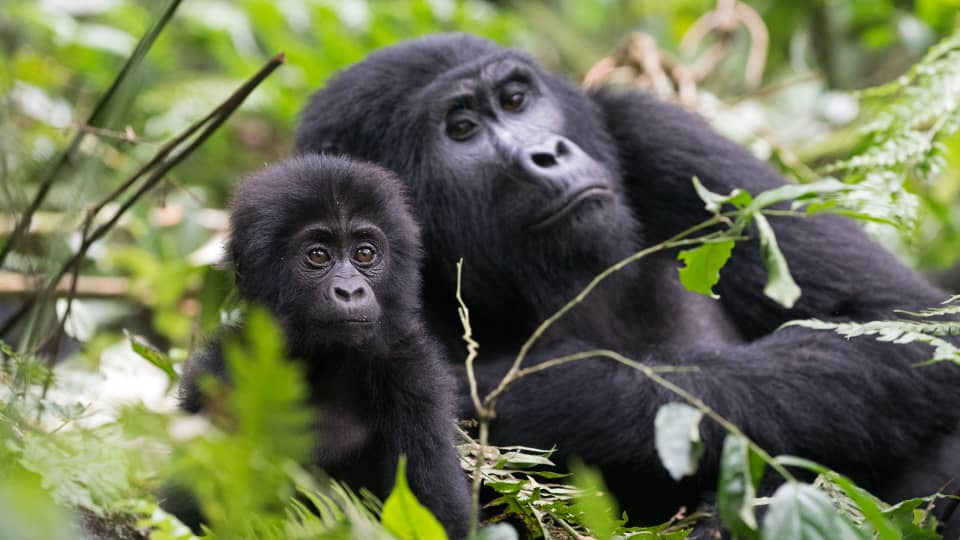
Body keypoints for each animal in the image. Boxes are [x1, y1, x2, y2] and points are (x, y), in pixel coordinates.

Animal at [177, 154, 472, 536]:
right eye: (318, 256)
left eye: (365, 253)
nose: (350, 291)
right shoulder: (217, 378)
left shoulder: (415, 377)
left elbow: (440, 514)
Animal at [294, 32, 960, 524]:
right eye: (460, 129)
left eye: (515, 100)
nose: (548, 153)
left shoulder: (654, 130)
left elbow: (899, 325)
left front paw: (527, 397)